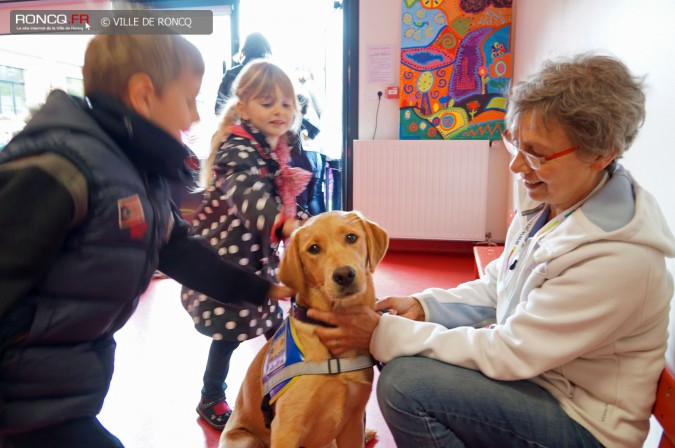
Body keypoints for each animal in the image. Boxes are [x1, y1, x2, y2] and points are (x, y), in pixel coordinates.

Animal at [220, 211, 388, 448]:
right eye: (314, 249)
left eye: (351, 237)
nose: (344, 275)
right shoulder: (286, 428)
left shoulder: (353, 422)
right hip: (245, 440)